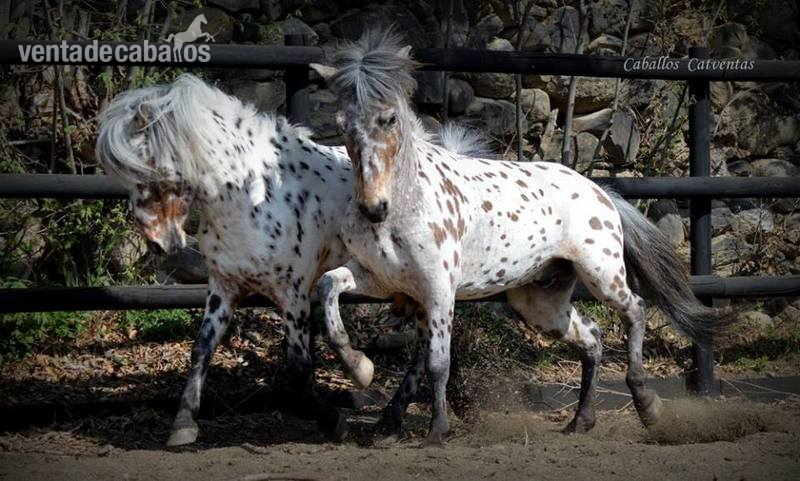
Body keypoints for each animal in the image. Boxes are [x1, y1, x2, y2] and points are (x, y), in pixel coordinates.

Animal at [95, 73, 489, 446]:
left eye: (149, 167)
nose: (159, 243)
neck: (254, 193)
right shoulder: (223, 287)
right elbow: (201, 349)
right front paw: (183, 424)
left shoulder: (293, 292)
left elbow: (299, 367)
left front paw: (334, 420)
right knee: (423, 349)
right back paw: (389, 422)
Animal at [311, 29, 733, 445]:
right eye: (342, 124)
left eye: (390, 118)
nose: (373, 207)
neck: (407, 203)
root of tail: (601, 192)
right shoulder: (382, 280)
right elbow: (330, 287)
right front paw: (359, 368)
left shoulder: (438, 289)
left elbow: (437, 363)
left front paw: (437, 431)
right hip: (538, 301)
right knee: (591, 336)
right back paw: (581, 421)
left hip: (602, 275)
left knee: (636, 309)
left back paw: (647, 405)